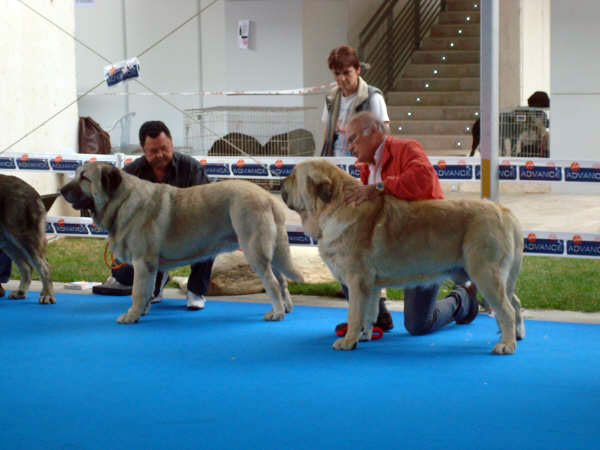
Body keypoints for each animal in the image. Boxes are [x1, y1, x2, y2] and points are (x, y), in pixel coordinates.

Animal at [0, 174, 56, 304]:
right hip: (7, 241)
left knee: (44, 265)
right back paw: (21, 292)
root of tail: (33, 191)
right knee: (27, 267)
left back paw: (47, 294)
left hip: (23, 237)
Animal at [59, 162, 304, 324]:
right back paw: (287, 307)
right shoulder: (150, 266)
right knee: (282, 281)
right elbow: (147, 290)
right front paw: (143, 310)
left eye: (84, 178)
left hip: (254, 250)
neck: (122, 200)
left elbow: (137, 291)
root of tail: (269, 198)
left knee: (272, 283)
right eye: (76, 175)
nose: (61, 190)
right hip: (270, 252)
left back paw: (276, 313)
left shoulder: (142, 262)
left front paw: (131, 315)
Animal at [282, 160, 524, 354]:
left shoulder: (356, 280)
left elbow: (354, 314)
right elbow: (369, 313)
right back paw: (516, 334)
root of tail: (505, 212)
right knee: (515, 302)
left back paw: (506, 344)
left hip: (485, 274)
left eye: (293, 176)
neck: (335, 207)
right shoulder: (370, 285)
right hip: (499, 278)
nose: (281, 183)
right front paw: (365, 335)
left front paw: (348, 341)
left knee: (507, 309)